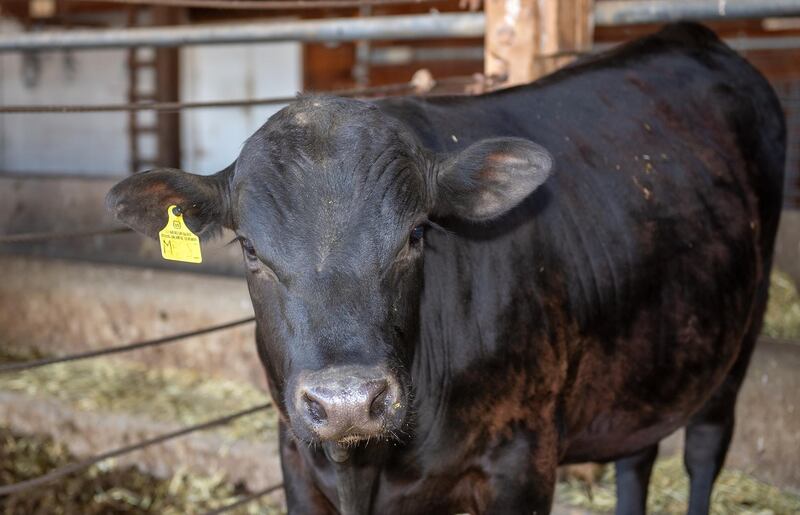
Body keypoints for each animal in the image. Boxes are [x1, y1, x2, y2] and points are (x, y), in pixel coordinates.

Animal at [106, 23, 780, 515]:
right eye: (248, 248)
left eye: (415, 235)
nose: (348, 402)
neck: (368, 468)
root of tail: (691, 34)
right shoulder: (296, 458)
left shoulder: (521, 460)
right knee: (636, 455)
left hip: (741, 334)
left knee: (704, 446)